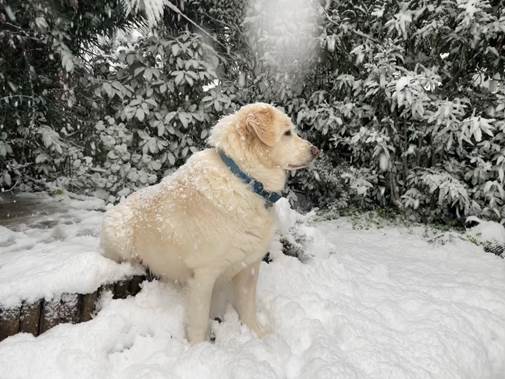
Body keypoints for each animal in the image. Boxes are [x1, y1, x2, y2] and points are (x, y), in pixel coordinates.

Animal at [100, 103, 316, 344]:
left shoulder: (250, 265)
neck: (245, 182)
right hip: (121, 238)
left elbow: (248, 307)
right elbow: (199, 321)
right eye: (287, 133)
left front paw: (258, 335)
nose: (316, 150)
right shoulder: (203, 274)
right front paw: (199, 348)